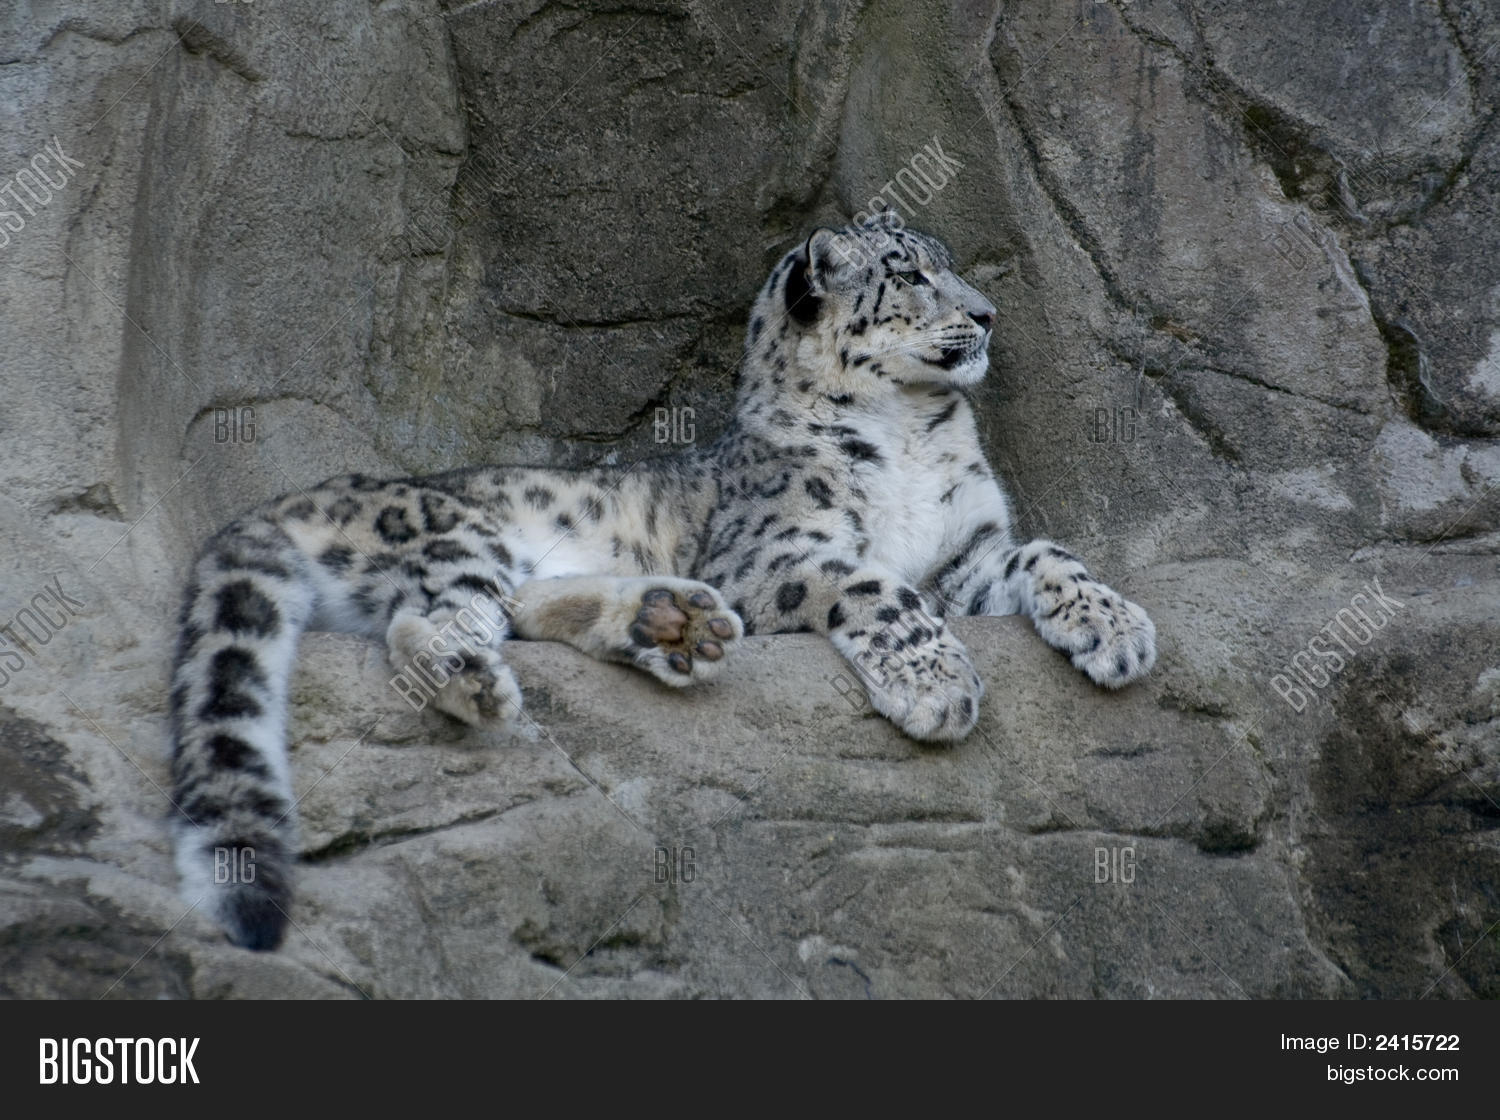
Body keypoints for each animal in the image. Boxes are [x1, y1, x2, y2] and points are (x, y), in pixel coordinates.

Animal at [168, 212, 1156, 951]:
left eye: (949, 269)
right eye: (911, 274)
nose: (988, 316)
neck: (913, 433)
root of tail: (297, 494)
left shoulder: (968, 554)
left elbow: (1046, 554)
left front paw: (1116, 627)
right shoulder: (771, 558)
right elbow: (877, 587)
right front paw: (937, 682)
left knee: (514, 608)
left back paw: (669, 623)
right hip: (456, 535)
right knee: (429, 624)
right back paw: (484, 677)